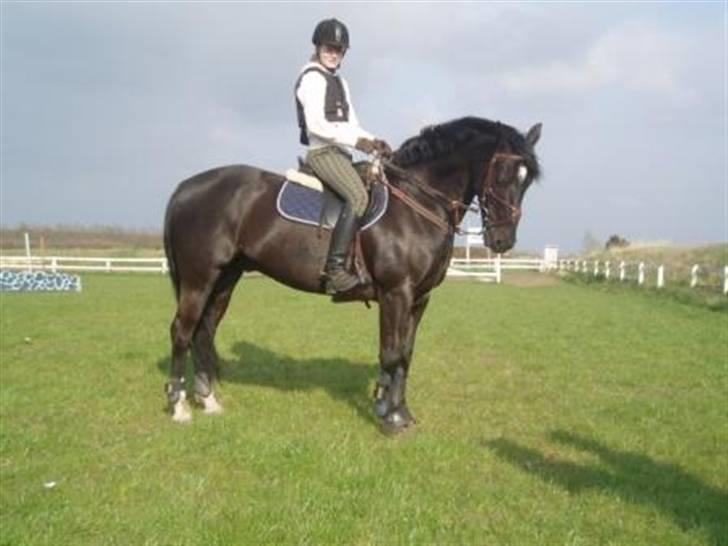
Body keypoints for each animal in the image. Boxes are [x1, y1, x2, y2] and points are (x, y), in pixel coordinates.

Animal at [163, 116, 542, 433]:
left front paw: (400, 412)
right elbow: (391, 354)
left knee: (204, 331)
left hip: (225, 279)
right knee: (182, 331)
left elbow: (405, 356)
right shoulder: (396, 293)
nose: (502, 241)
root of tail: (185, 188)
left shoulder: (419, 299)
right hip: (199, 278)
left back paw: (208, 400)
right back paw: (180, 407)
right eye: (502, 174)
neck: (417, 203)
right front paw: (390, 419)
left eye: (527, 182)